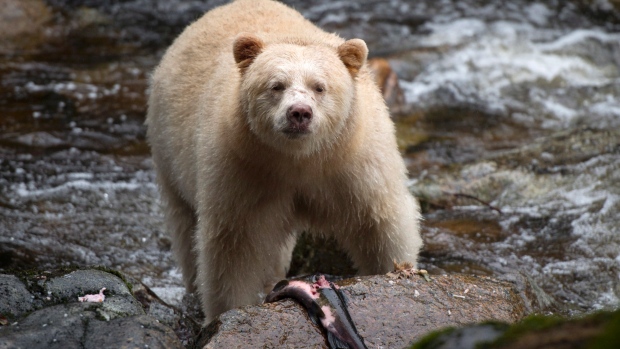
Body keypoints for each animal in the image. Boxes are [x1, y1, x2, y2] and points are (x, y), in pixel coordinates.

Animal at [148, 0, 424, 320]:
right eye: (276, 85)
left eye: (319, 86)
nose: (299, 113)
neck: (299, 157)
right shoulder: (242, 167)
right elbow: (234, 245)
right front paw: (227, 311)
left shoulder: (354, 162)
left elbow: (378, 222)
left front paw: (397, 271)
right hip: (169, 152)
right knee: (185, 228)